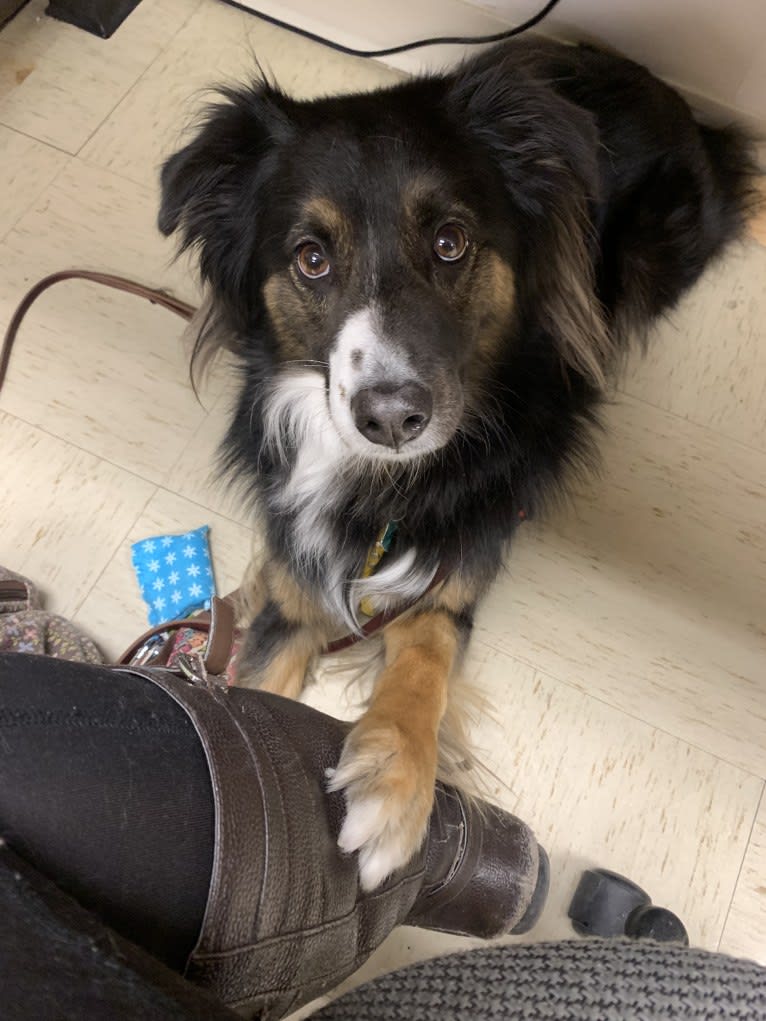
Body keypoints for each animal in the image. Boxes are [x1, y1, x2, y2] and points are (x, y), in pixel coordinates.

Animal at [159, 37, 759, 886]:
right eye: (310, 259)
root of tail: (657, 84)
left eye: (450, 242)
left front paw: (394, 783)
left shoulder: (457, 566)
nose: (390, 417)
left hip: (667, 252)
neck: (384, 487)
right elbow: (253, 685)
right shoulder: (298, 582)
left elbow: (425, 656)